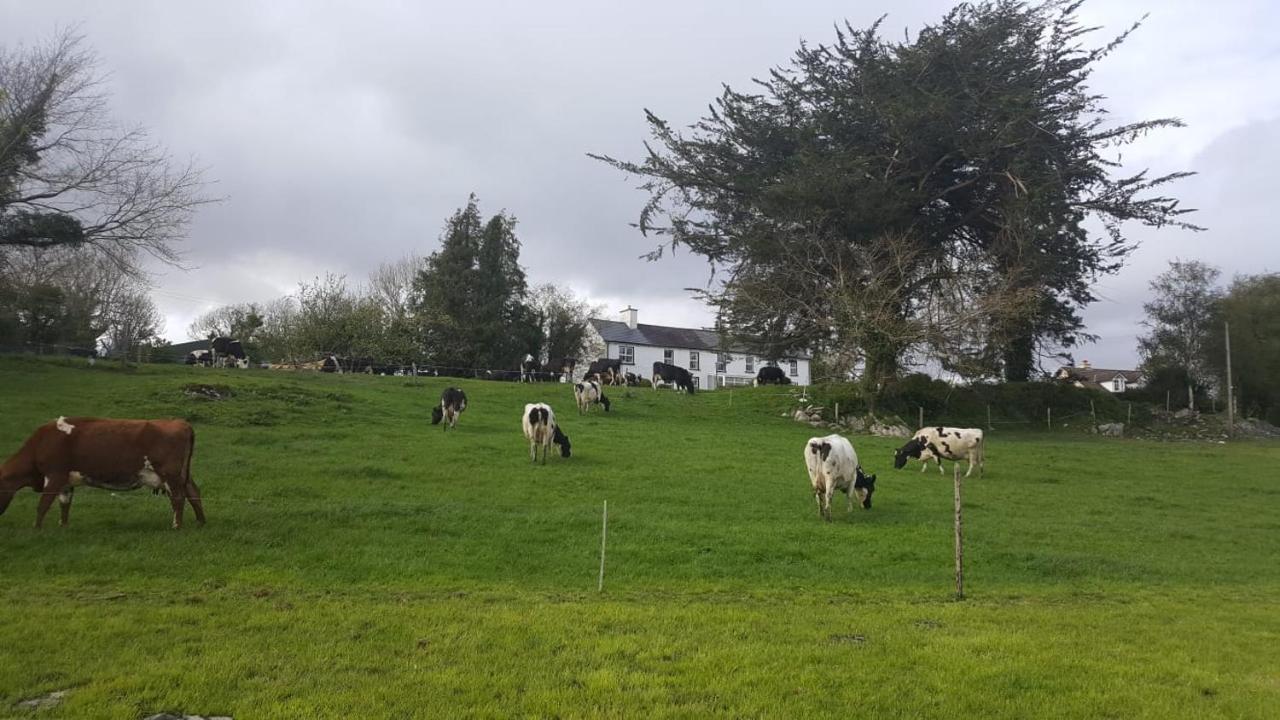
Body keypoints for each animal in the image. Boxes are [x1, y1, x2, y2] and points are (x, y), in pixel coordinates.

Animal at [0, 415, 204, 527]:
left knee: (178, 498)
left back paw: (176, 526)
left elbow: (43, 505)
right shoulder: (65, 481)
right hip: (183, 476)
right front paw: (63, 526)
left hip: (171, 475)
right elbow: (64, 504)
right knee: (193, 493)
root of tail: (181, 423)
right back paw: (200, 522)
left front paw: (36, 529)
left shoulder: (54, 475)